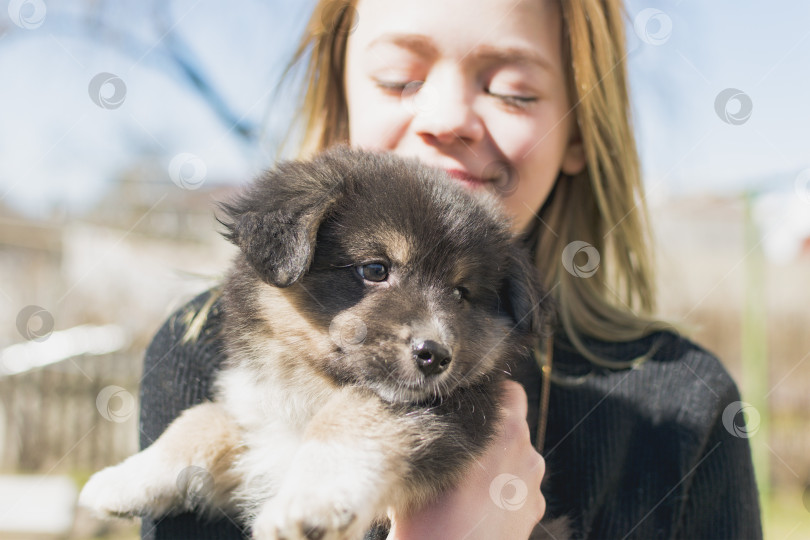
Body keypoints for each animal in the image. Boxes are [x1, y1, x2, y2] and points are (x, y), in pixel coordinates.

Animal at [82, 148, 560, 540]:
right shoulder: (262, 427)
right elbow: (205, 419)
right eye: (375, 269)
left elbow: (353, 417)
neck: (311, 385)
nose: (436, 356)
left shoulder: (455, 409)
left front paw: (310, 504)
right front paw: (121, 480)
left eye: (462, 293)